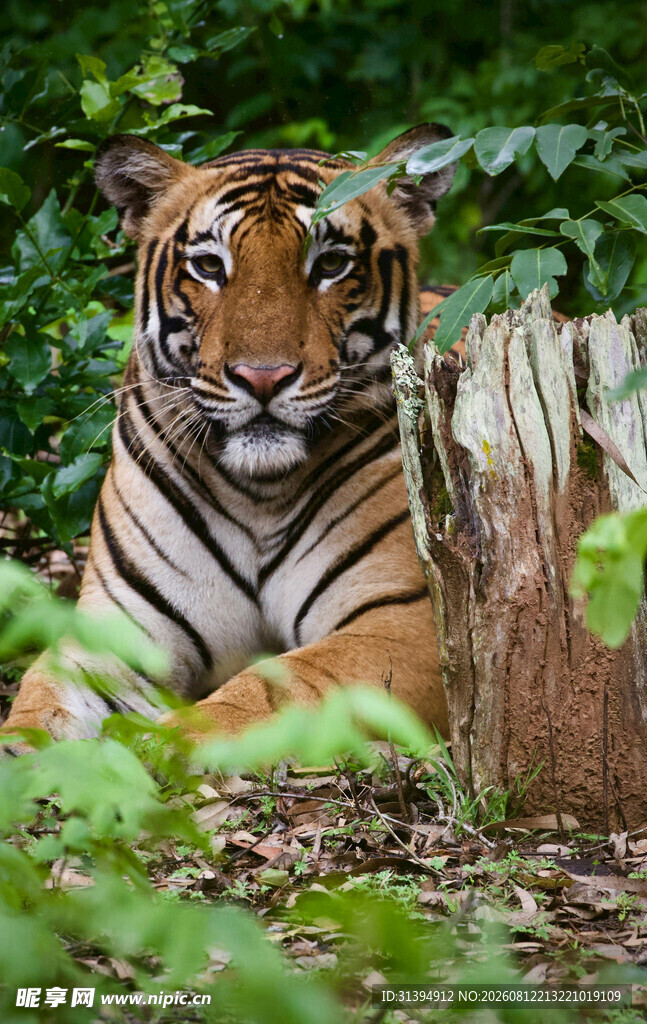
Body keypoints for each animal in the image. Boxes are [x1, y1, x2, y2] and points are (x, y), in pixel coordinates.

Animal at [2, 123, 457, 747]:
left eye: (331, 263)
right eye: (210, 267)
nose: (262, 376)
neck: (259, 491)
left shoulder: (405, 622)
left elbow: (271, 689)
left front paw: (159, 751)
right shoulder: (119, 625)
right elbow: (39, 702)